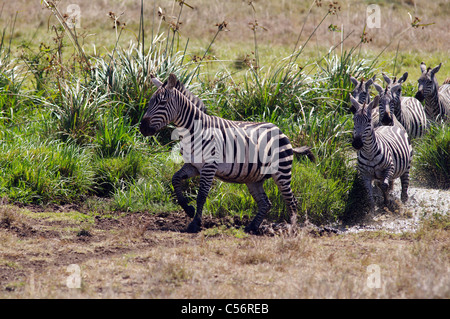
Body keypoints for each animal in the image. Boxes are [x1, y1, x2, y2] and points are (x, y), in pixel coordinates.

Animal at [139, 74, 304, 235]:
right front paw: (188, 209)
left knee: (292, 202)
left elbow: (201, 195)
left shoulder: (209, 166)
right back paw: (252, 227)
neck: (193, 131)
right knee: (266, 203)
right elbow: (175, 179)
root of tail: (280, 130)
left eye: (162, 102)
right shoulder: (193, 166)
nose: (142, 128)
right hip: (254, 178)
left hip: (281, 173)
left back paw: (292, 230)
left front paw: (195, 223)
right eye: (150, 102)